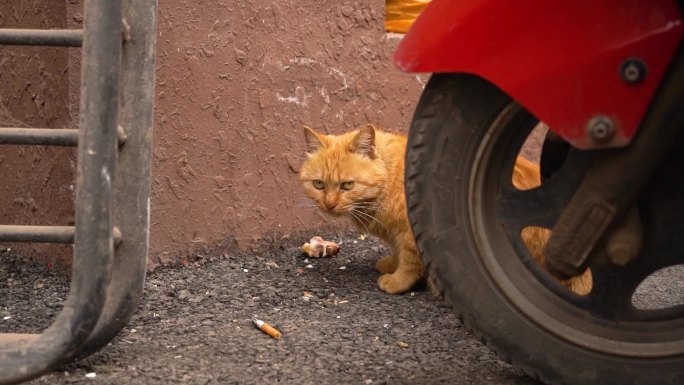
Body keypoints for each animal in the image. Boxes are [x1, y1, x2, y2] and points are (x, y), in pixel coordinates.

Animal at [300, 124, 422, 292]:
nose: (329, 204)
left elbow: (410, 261)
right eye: (318, 184)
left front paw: (397, 281)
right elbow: (398, 251)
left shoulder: (410, 234)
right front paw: (392, 264)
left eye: (348, 185)